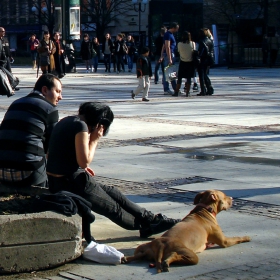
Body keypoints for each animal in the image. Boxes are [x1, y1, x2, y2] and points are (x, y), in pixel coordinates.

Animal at [122, 189, 252, 272]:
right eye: (224, 196)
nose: (232, 198)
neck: (205, 209)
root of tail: (160, 244)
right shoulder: (224, 241)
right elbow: (237, 238)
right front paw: (246, 237)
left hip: (142, 248)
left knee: (138, 255)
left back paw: (126, 258)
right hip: (190, 255)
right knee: (175, 255)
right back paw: (167, 263)